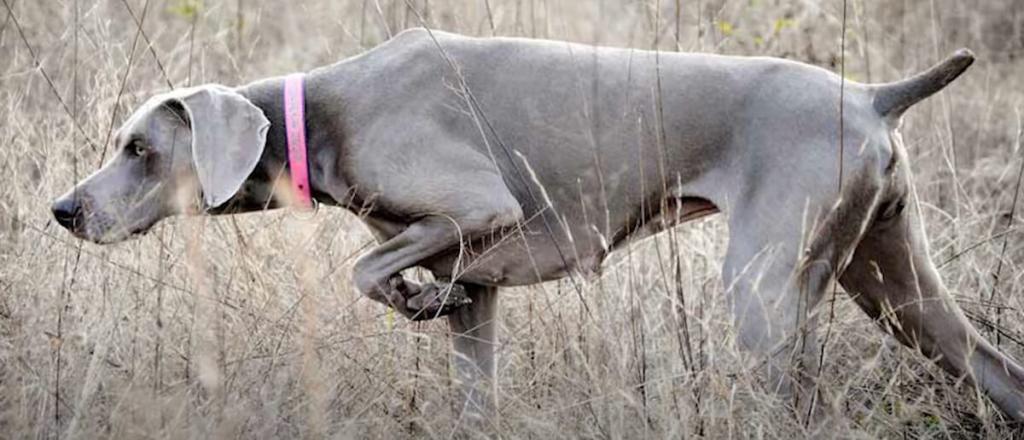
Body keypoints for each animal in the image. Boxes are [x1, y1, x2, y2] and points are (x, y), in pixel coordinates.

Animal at [49, 28, 1024, 423]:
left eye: (139, 148)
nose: (65, 209)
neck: (320, 112)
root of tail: (873, 96)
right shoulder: (480, 283)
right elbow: (466, 365)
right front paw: (425, 302)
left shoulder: (481, 208)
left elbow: (365, 272)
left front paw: (413, 298)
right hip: (891, 278)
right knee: (994, 368)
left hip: (764, 291)